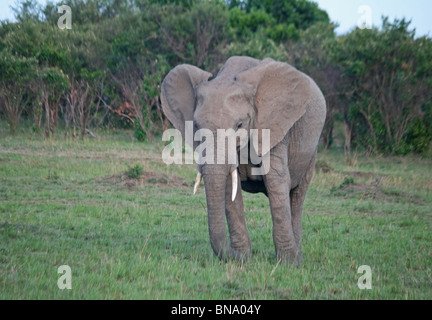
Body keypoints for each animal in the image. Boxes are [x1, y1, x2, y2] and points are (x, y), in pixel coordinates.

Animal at [160, 55, 326, 264]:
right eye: (196, 125)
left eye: (239, 125)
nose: (238, 256)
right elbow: (230, 186)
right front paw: (243, 259)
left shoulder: (274, 127)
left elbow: (276, 180)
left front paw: (289, 264)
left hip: (312, 150)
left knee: (297, 195)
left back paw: (298, 257)